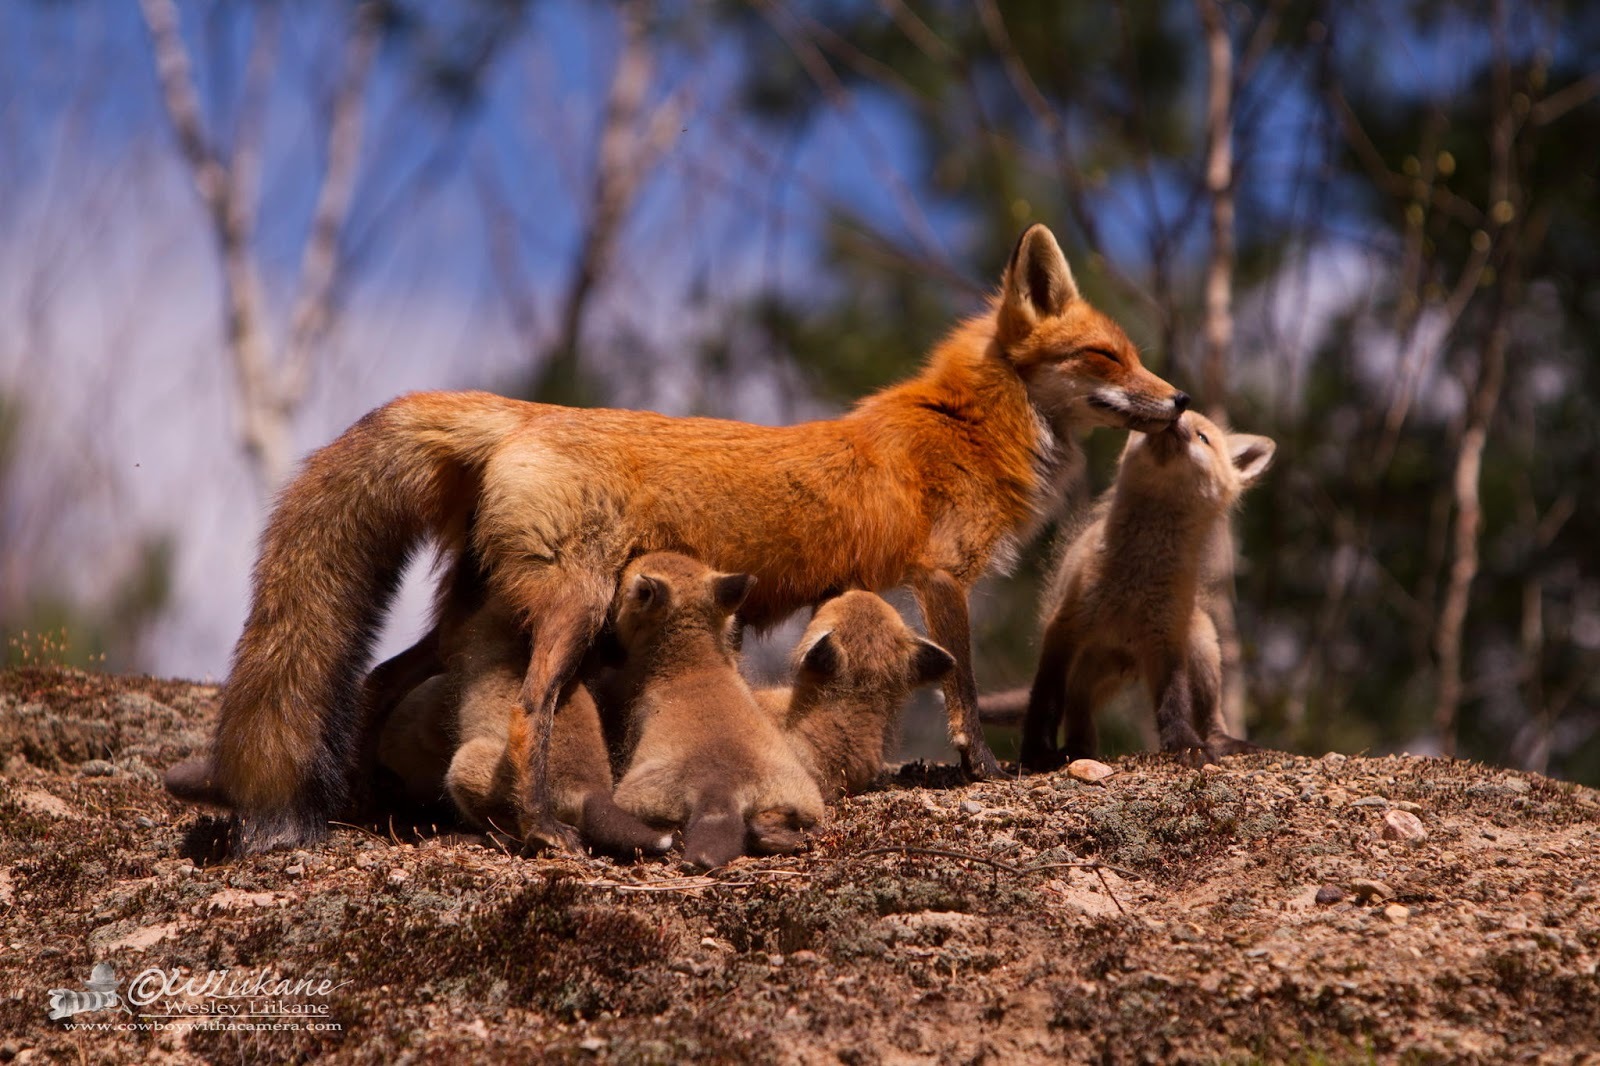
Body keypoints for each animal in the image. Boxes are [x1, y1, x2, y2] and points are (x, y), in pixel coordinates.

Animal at [184, 219, 1190, 851]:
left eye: (1136, 356)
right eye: (1107, 358)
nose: (1179, 399)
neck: (968, 423)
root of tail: (519, 415)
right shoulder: (943, 578)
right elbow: (968, 693)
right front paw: (982, 768)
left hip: (479, 617)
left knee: (376, 682)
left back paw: (366, 809)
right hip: (572, 610)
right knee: (526, 713)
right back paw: (540, 830)